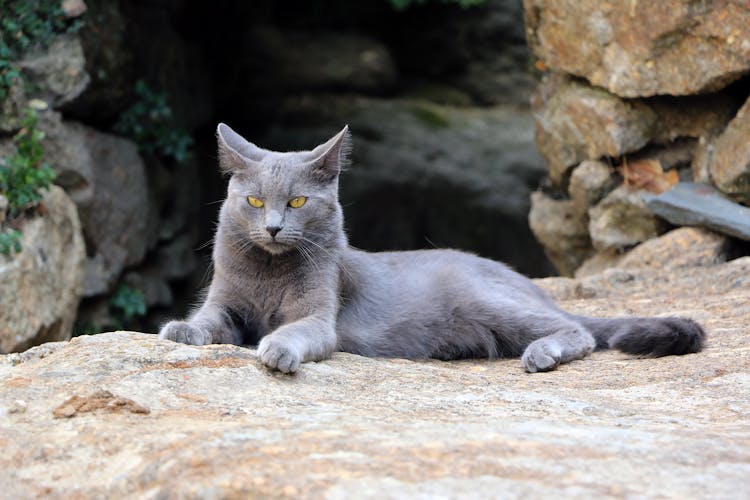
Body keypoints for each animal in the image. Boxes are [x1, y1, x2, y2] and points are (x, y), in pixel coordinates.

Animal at [157, 125, 704, 374]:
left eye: (296, 202)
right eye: (253, 201)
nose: (272, 228)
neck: (268, 273)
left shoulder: (317, 314)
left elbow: (297, 331)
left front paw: (276, 349)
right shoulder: (227, 301)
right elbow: (210, 319)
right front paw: (180, 329)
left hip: (487, 300)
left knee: (578, 332)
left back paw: (541, 353)